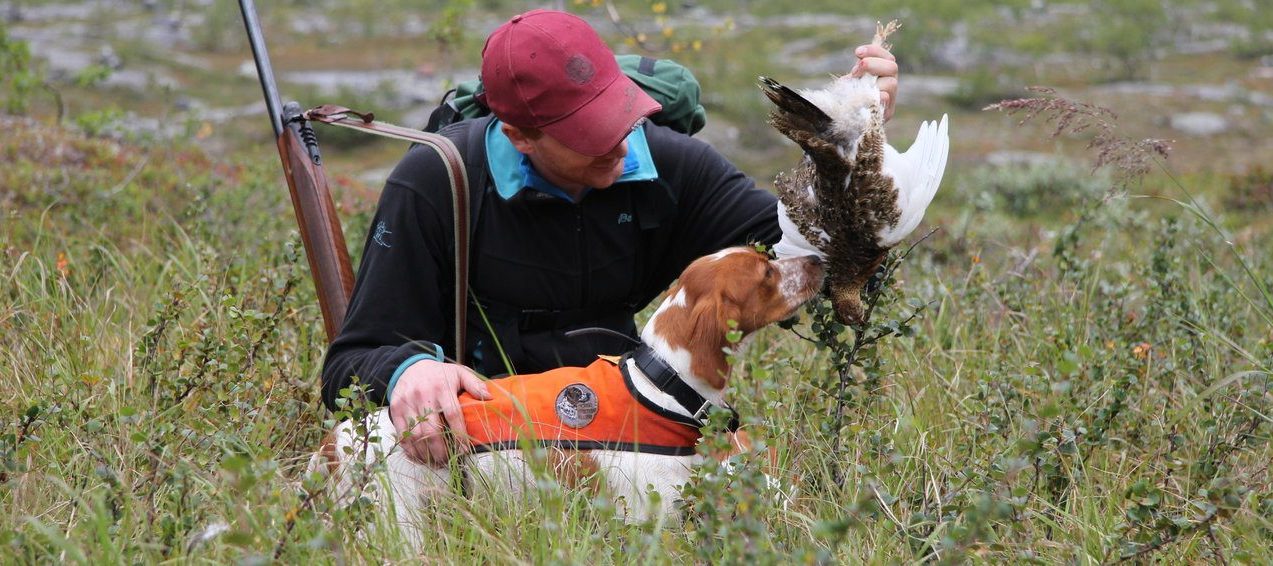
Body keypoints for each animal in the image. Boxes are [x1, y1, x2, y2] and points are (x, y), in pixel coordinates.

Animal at [309, 245, 824, 539]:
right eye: (765, 273)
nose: (818, 258)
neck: (662, 384)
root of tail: (337, 442)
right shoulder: (649, 520)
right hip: (400, 525)